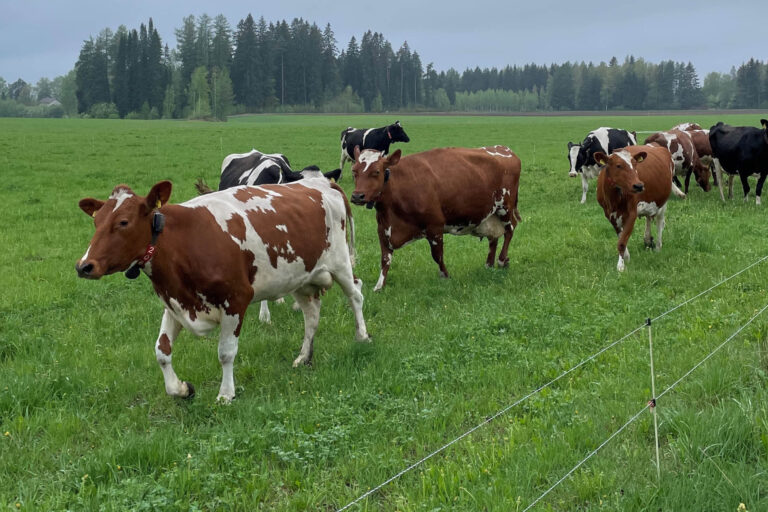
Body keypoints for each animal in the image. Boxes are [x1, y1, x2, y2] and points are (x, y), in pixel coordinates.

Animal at [76, 178, 370, 402]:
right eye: (96, 222)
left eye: (123, 222)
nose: (84, 266)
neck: (184, 241)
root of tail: (322, 181)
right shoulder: (174, 303)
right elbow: (161, 351)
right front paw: (181, 389)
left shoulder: (236, 299)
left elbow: (226, 352)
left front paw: (226, 394)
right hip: (299, 276)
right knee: (311, 314)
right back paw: (303, 357)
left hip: (340, 262)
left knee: (355, 294)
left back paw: (362, 337)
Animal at [350, 144, 520, 290]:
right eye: (354, 171)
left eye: (376, 172)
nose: (357, 196)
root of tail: (505, 150)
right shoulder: (383, 229)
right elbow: (385, 258)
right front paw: (379, 286)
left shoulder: (435, 226)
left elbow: (437, 255)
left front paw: (445, 276)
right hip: (491, 214)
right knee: (494, 237)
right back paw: (489, 264)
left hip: (505, 207)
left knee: (510, 230)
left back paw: (501, 260)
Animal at [592, 144, 672, 272]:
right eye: (618, 165)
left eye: (635, 165)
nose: (639, 185)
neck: (614, 199)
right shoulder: (610, 215)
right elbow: (621, 236)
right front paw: (626, 257)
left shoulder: (631, 213)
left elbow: (622, 242)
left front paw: (620, 265)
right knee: (648, 218)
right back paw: (648, 240)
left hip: (662, 203)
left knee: (660, 223)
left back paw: (658, 247)